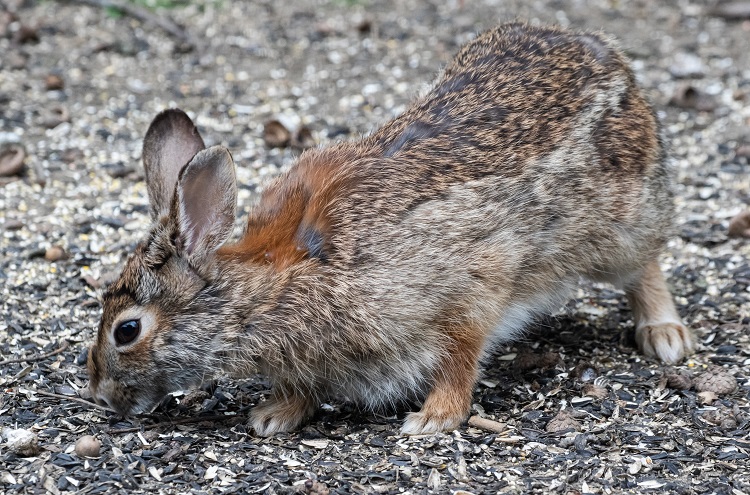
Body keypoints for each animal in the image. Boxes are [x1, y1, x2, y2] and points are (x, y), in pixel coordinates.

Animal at [86, 23, 692, 436]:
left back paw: (665, 336)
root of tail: (610, 58)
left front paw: (435, 419)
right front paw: (276, 413)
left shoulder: (467, 288)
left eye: (127, 330)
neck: (272, 288)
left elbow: (460, 358)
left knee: (646, 263)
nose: (100, 395)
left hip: (619, 225)